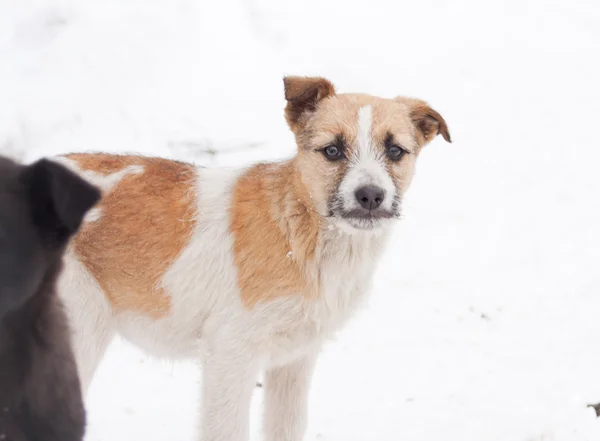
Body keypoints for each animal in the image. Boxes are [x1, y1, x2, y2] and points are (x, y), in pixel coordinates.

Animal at [52, 76, 450, 440]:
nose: (370, 195)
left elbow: (286, 429)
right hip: (80, 332)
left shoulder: (294, 361)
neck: (302, 230)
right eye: (333, 151)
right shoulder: (230, 354)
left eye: (395, 150)